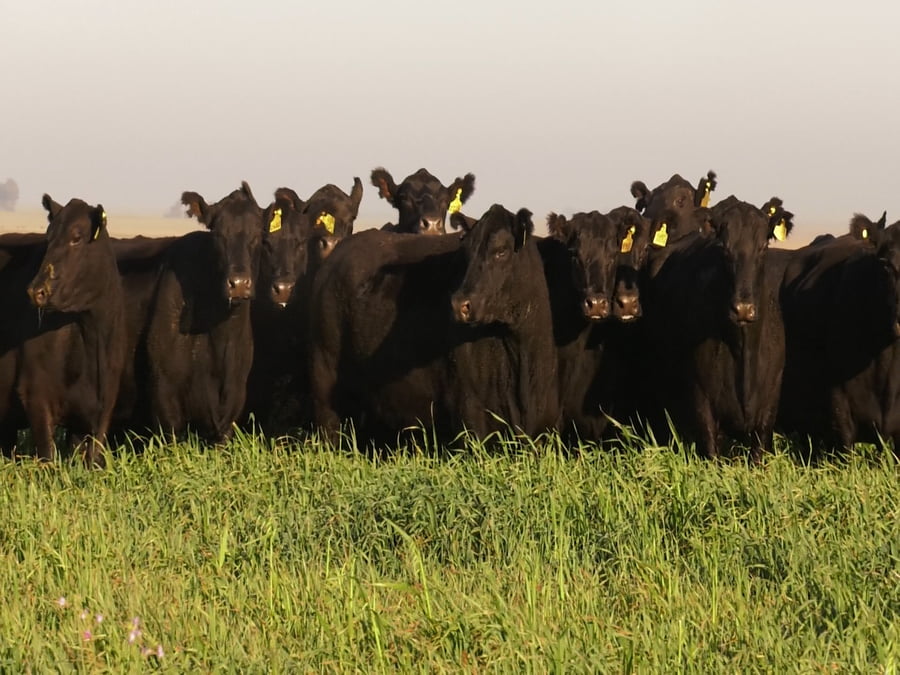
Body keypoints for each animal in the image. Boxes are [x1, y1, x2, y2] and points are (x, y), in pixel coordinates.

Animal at [0, 196, 127, 465]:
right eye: (48, 238)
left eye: (76, 237)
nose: (36, 290)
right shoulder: (35, 392)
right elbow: (48, 455)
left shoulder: (103, 404)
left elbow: (92, 457)